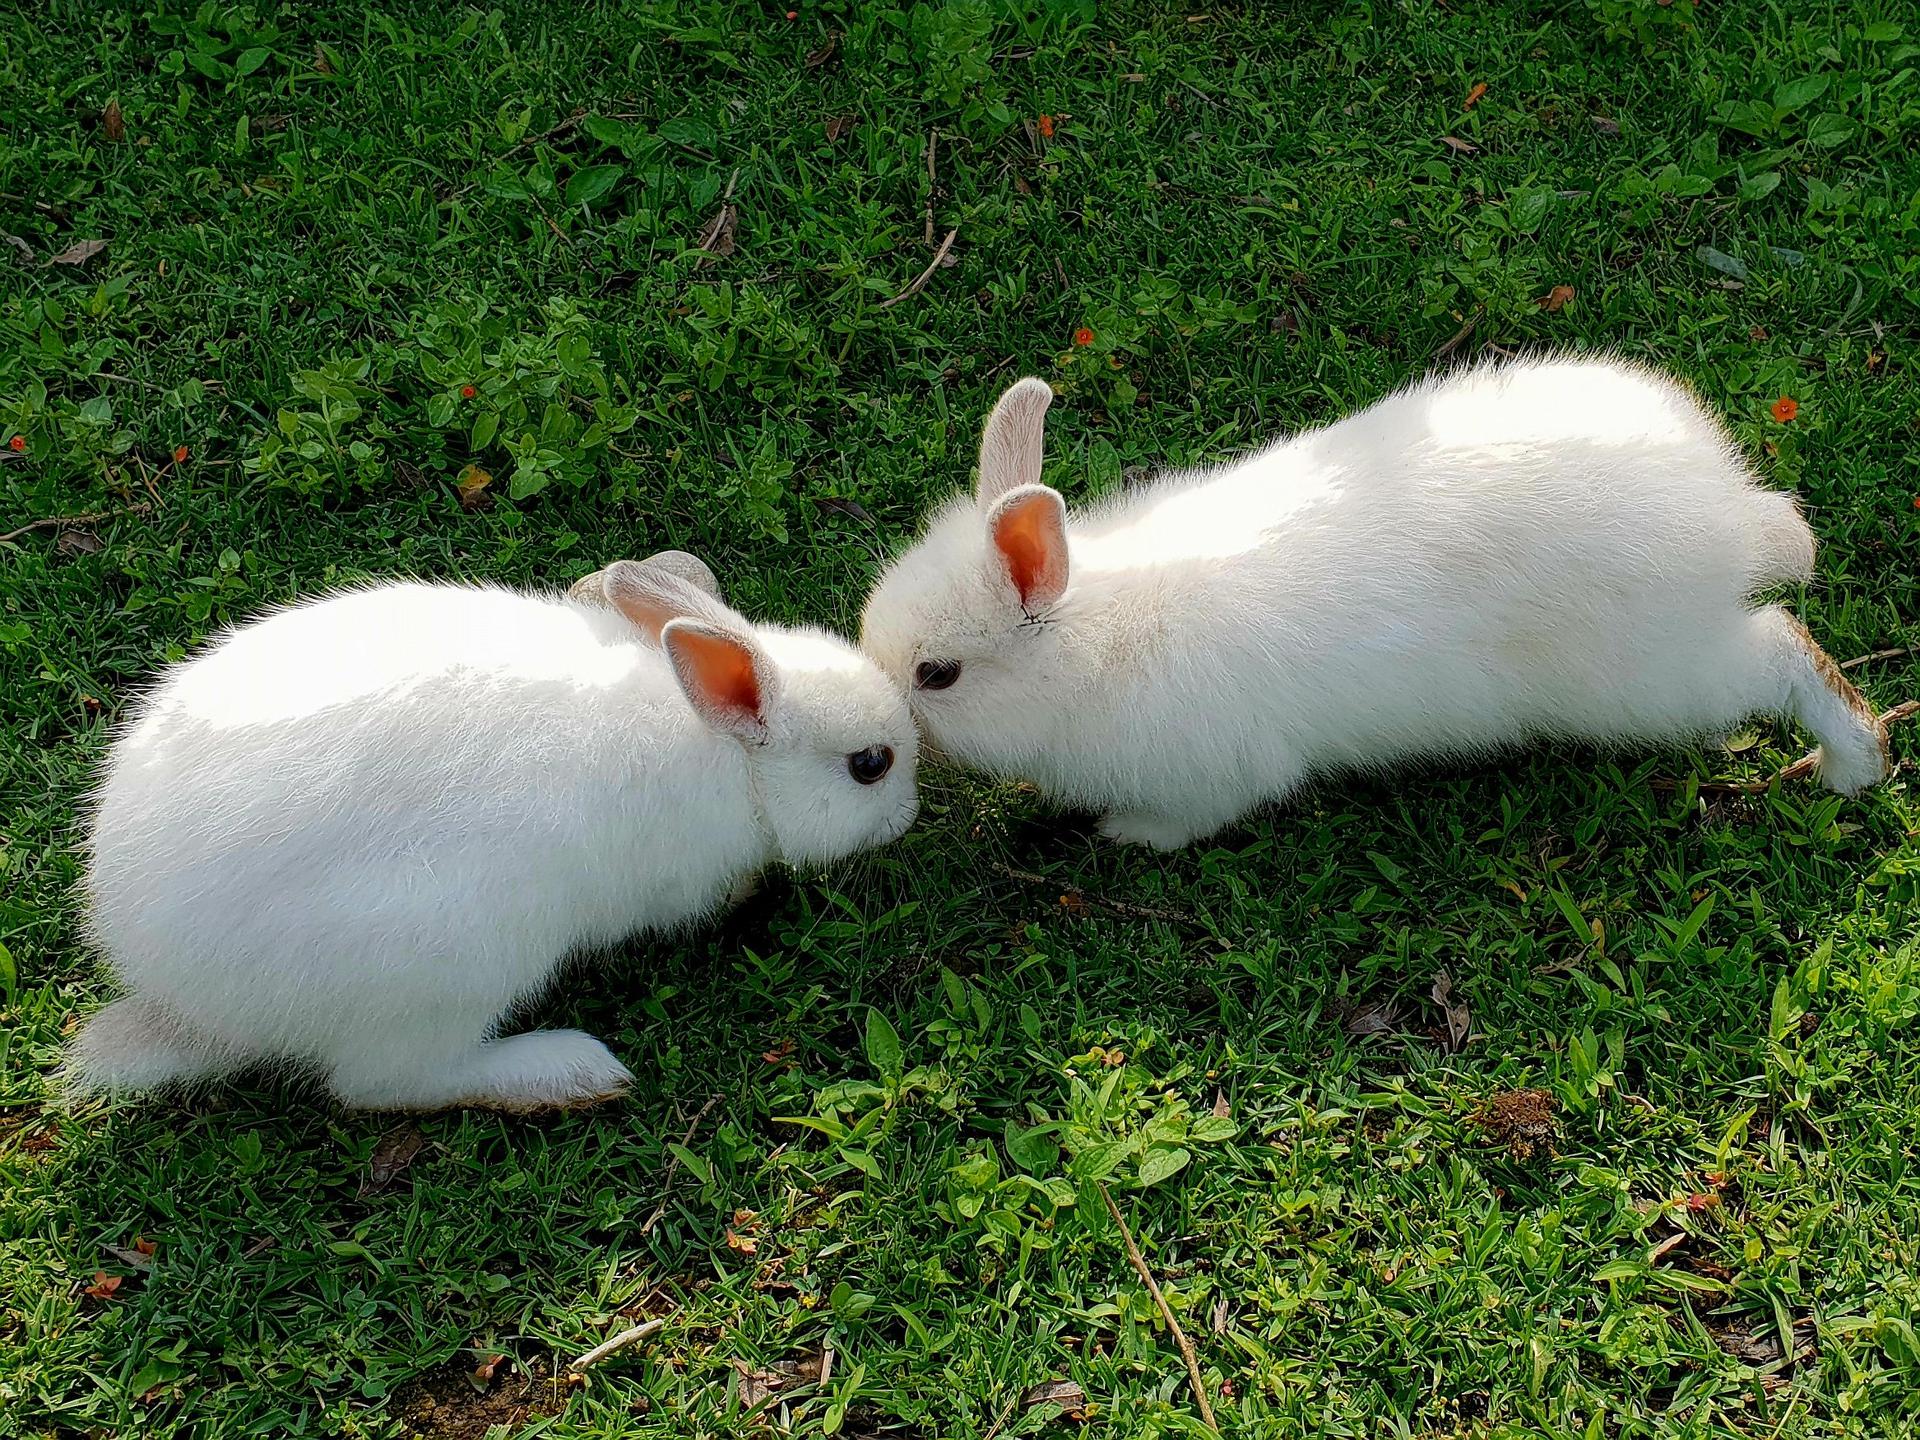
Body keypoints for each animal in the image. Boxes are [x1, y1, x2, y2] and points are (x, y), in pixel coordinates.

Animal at [70, 553, 918, 1111]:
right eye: (870, 766)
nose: (909, 815)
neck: (732, 756)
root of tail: (179, 998)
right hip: (454, 957)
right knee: (386, 1083)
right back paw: (570, 1073)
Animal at [860, 359, 1888, 851]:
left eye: (937, 676)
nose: (885, 740)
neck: (1090, 645)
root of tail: (1725, 513)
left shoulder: (1218, 775)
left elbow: (1191, 818)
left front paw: (1127, 836)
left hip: (1661, 677)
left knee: (1780, 646)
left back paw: (1855, 764)